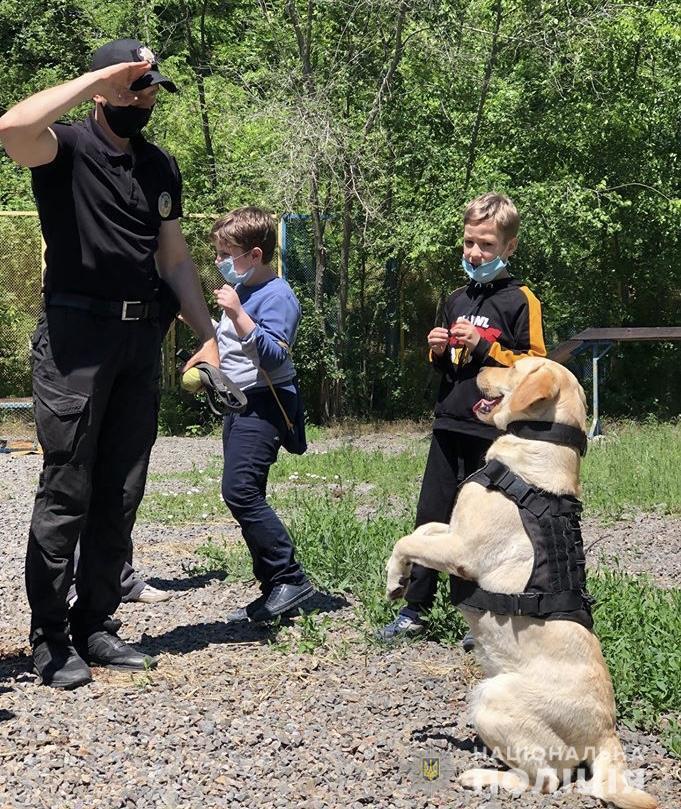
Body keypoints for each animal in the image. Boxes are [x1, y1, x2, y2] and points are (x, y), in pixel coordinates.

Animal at [386, 360, 656, 808]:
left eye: (512, 365)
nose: (477, 366)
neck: (534, 451)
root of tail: (607, 731)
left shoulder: (463, 550)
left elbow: (407, 539)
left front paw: (394, 578)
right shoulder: (452, 531)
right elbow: (421, 530)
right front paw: (402, 574)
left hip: (491, 699)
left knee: (545, 779)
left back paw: (483, 776)